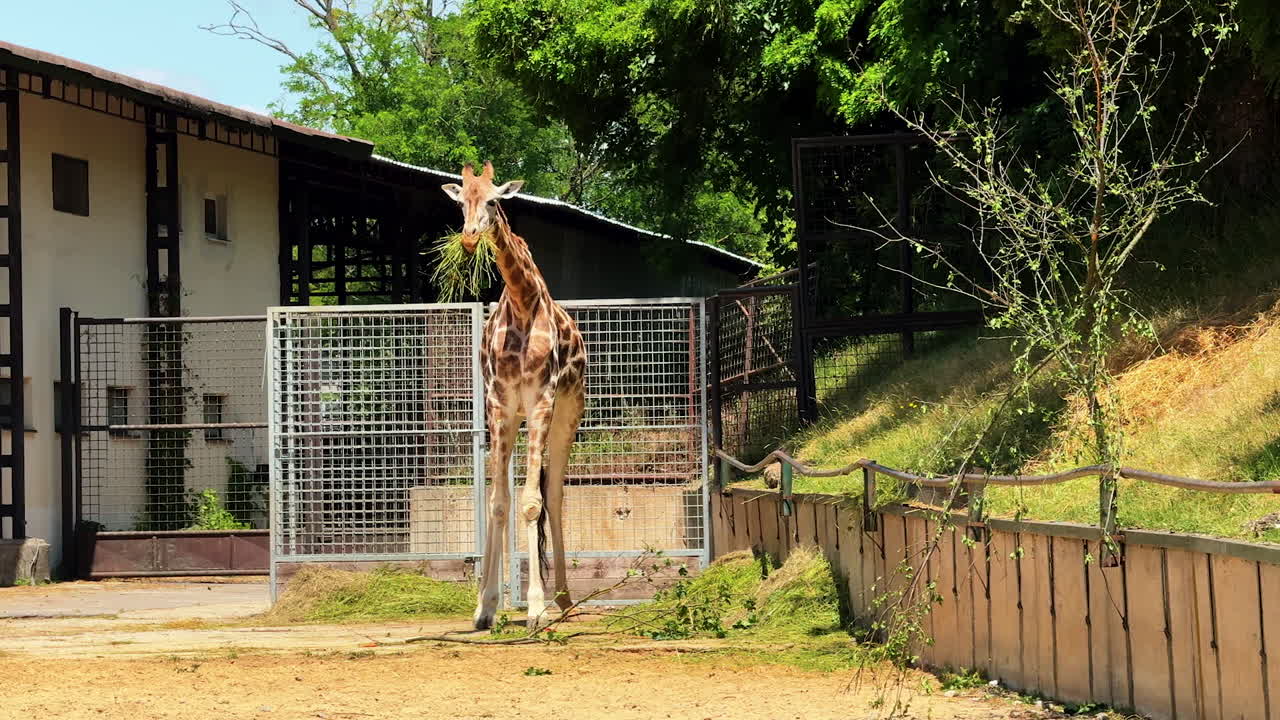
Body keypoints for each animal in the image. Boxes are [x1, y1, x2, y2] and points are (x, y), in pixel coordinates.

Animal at [441, 161, 587, 631]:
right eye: (461, 203)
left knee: (554, 494)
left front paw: (536, 608)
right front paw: (485, 606)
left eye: (492, 200)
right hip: (517, 419)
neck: (523, 304)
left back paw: (563, 600)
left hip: (567, 415)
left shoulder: (541, 400)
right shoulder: (499, 406)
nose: (470, 238)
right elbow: (497, 504)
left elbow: (531, 503)